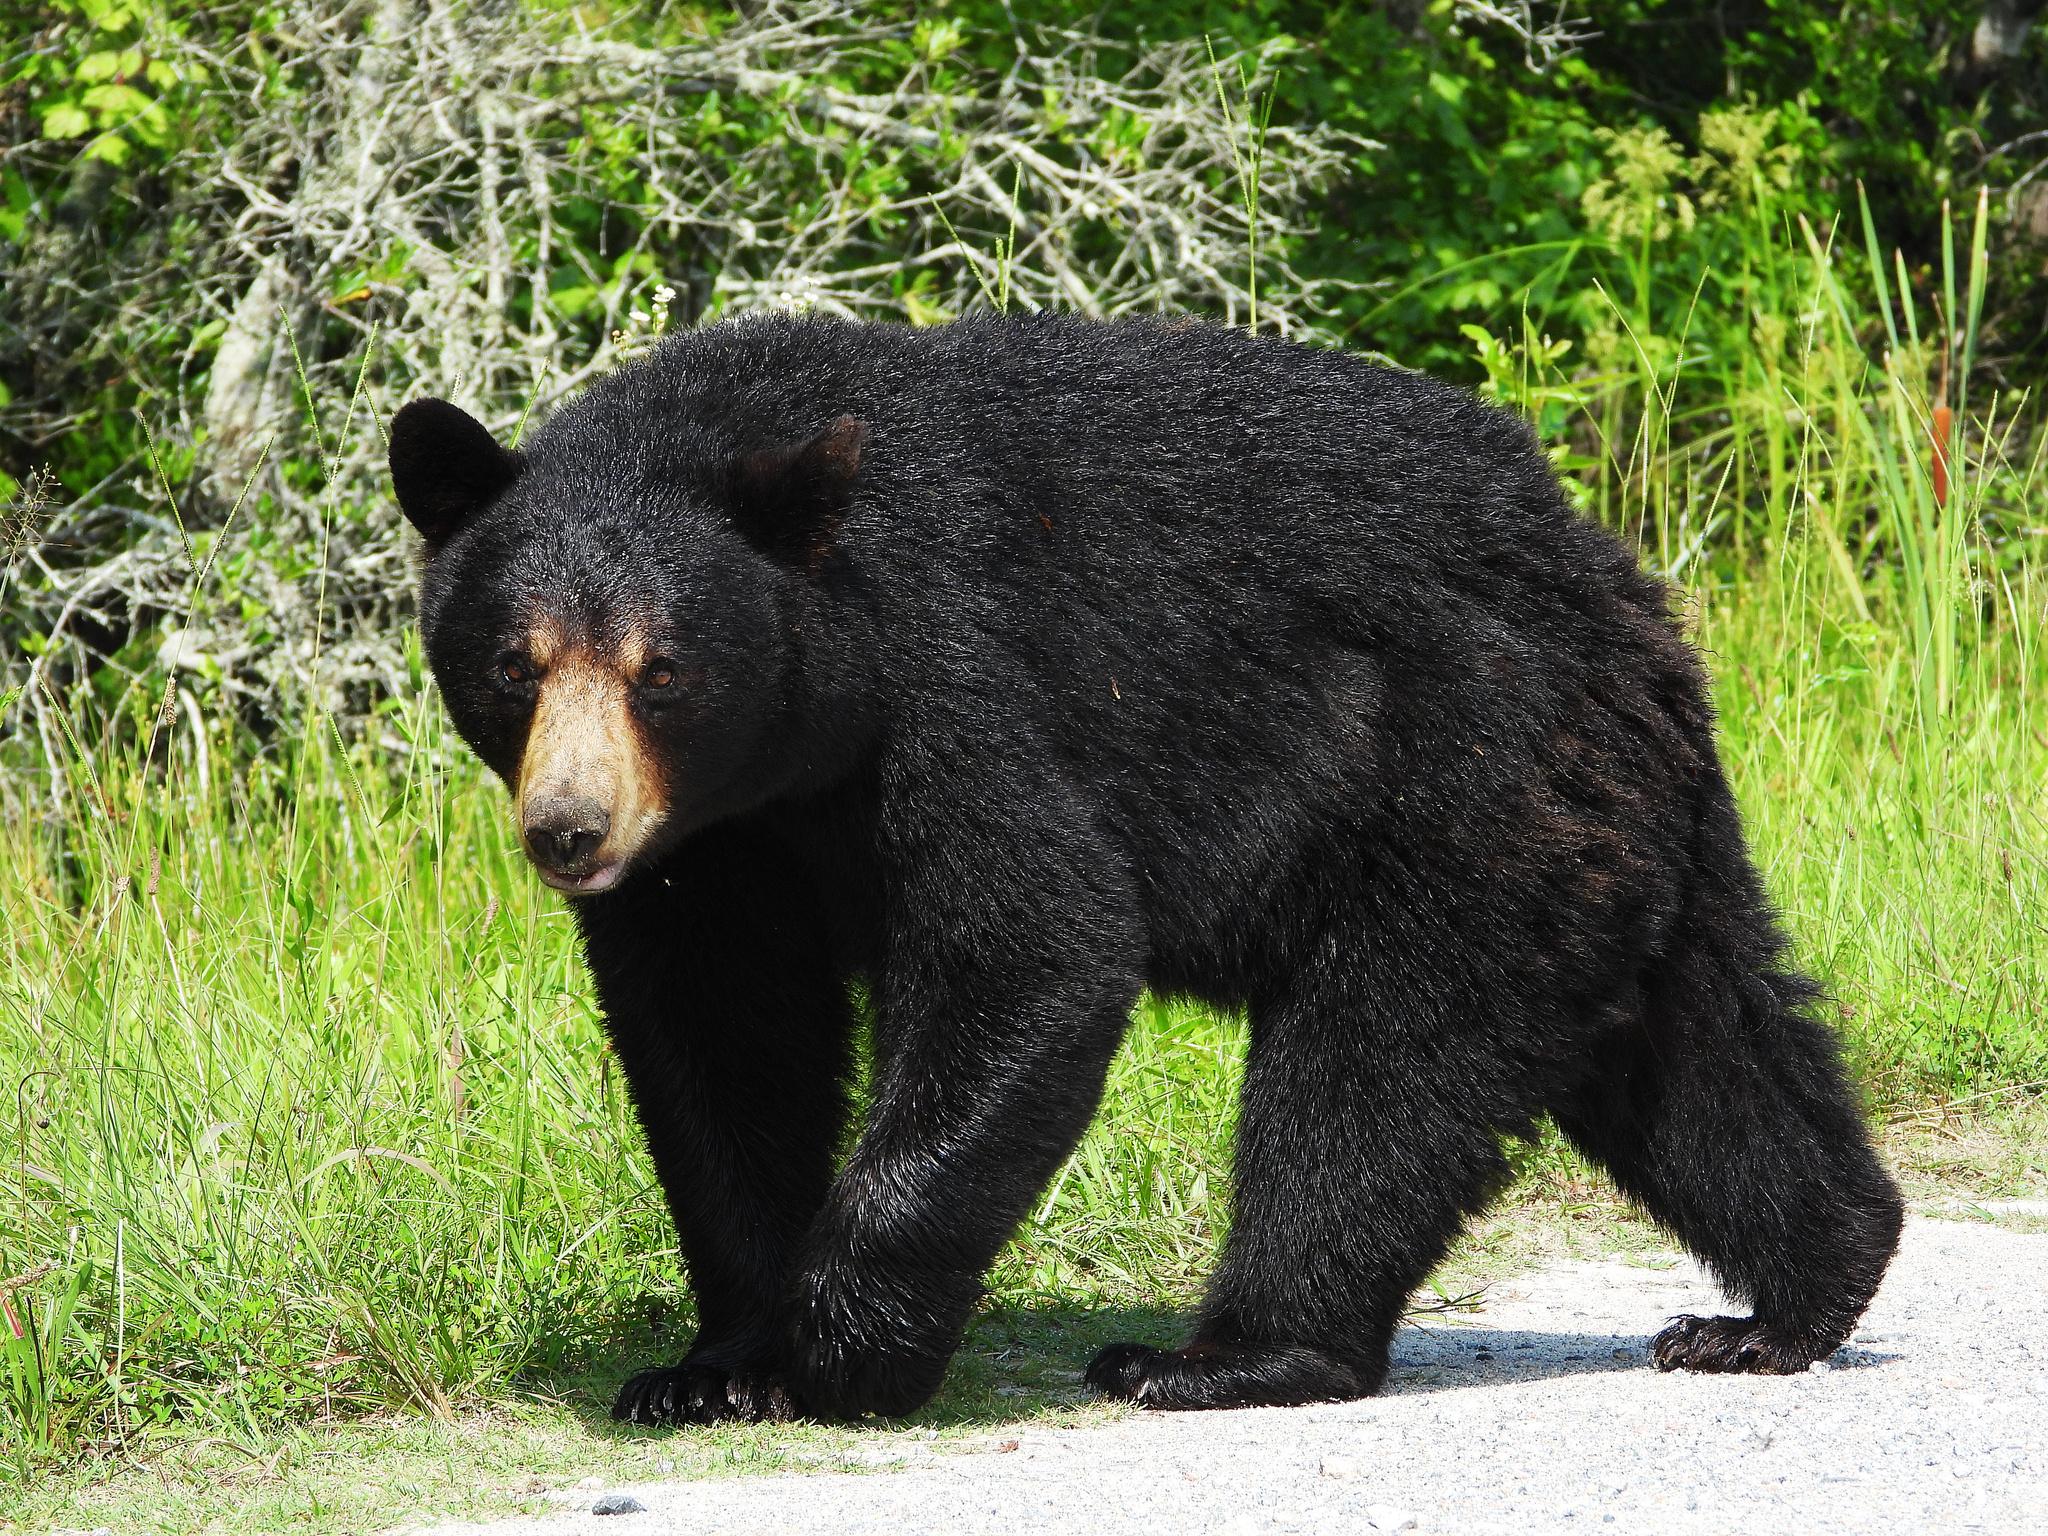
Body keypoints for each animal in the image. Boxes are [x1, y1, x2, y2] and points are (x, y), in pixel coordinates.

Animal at [388, 311, 1903, 1424]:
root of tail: (1617, 588)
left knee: (1375, 1069)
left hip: (1456, 784)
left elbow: (1031, 949)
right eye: (514, 663)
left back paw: (1220, 1357)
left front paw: (847, 1345)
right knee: (1698, 1045)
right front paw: (714, 1366)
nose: (571, 828)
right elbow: (719, 1041)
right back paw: (1787, 1299)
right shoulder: (719, 846)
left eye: (664, 668)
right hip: (1605, 825)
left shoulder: (955, 687)